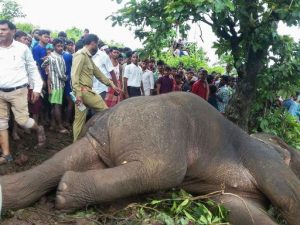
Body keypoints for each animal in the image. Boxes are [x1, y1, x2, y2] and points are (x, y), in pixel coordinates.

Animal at [0, 92, 300, 224]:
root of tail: (106, 113)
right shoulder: (262, 155)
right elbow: (289, 197)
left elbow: (241, 210)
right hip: (158, 126)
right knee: (163, 171)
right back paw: (66, 192)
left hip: (113, 133)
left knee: (70, 159)